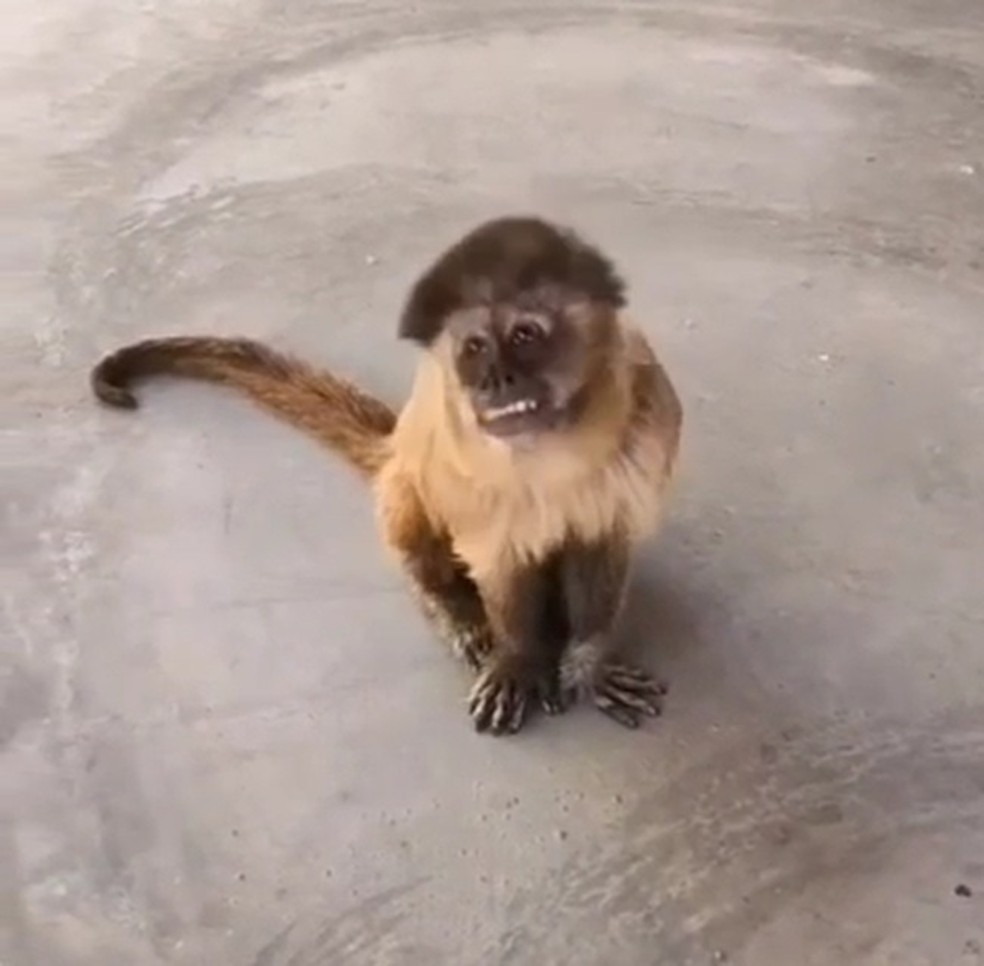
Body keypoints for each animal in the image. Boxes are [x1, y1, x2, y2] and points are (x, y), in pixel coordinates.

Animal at [90, 215, 683, 736]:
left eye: (525, 336)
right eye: (475, 348)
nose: (494, 380)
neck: (557, 447)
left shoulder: (650, 419)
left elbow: (603, 541)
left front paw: (587, 664)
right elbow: (494, 556)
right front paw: (517, 659)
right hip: (407, 470)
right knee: (410, 497)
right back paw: (455, 610)